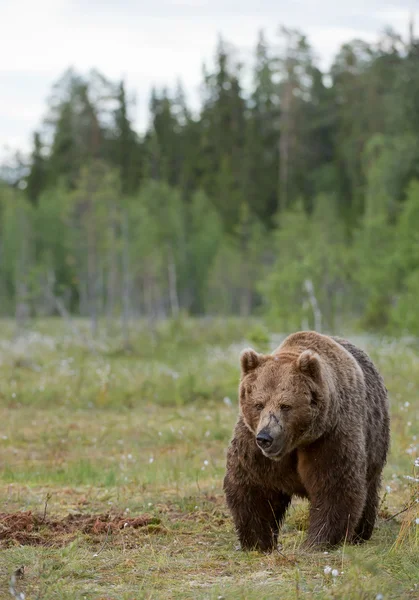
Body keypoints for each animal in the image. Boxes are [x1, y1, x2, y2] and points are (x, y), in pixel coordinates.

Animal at [225, 330, 392, 552]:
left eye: (286, 405)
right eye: (258, 404)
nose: (266, 438)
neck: (297, 442)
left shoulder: (329, 437)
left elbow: (335, 487)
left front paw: (318, 541)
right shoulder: (253, 446)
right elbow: (255, 487)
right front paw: (258, 542)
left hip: (374, 438)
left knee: (369, 488)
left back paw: (360, 533)